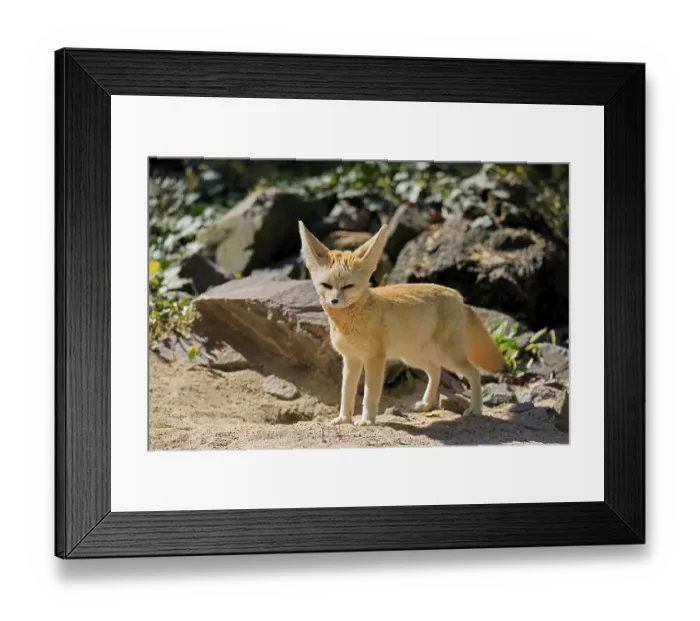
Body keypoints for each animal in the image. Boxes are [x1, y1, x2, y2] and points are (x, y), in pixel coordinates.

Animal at [298, 221, 507, 426]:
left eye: (348, 286)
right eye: (326, 285)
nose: (334, 301)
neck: (349, 320)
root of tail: (459, 297)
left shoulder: (374, 359)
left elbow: (370, 394)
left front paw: (367, 420)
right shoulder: (351, 359)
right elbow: (346, 393)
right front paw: (344, 418)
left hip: (448, 357)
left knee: (473, 373)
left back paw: (476, 409)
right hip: (413, 357)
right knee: (435, 370)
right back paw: (426, 404)